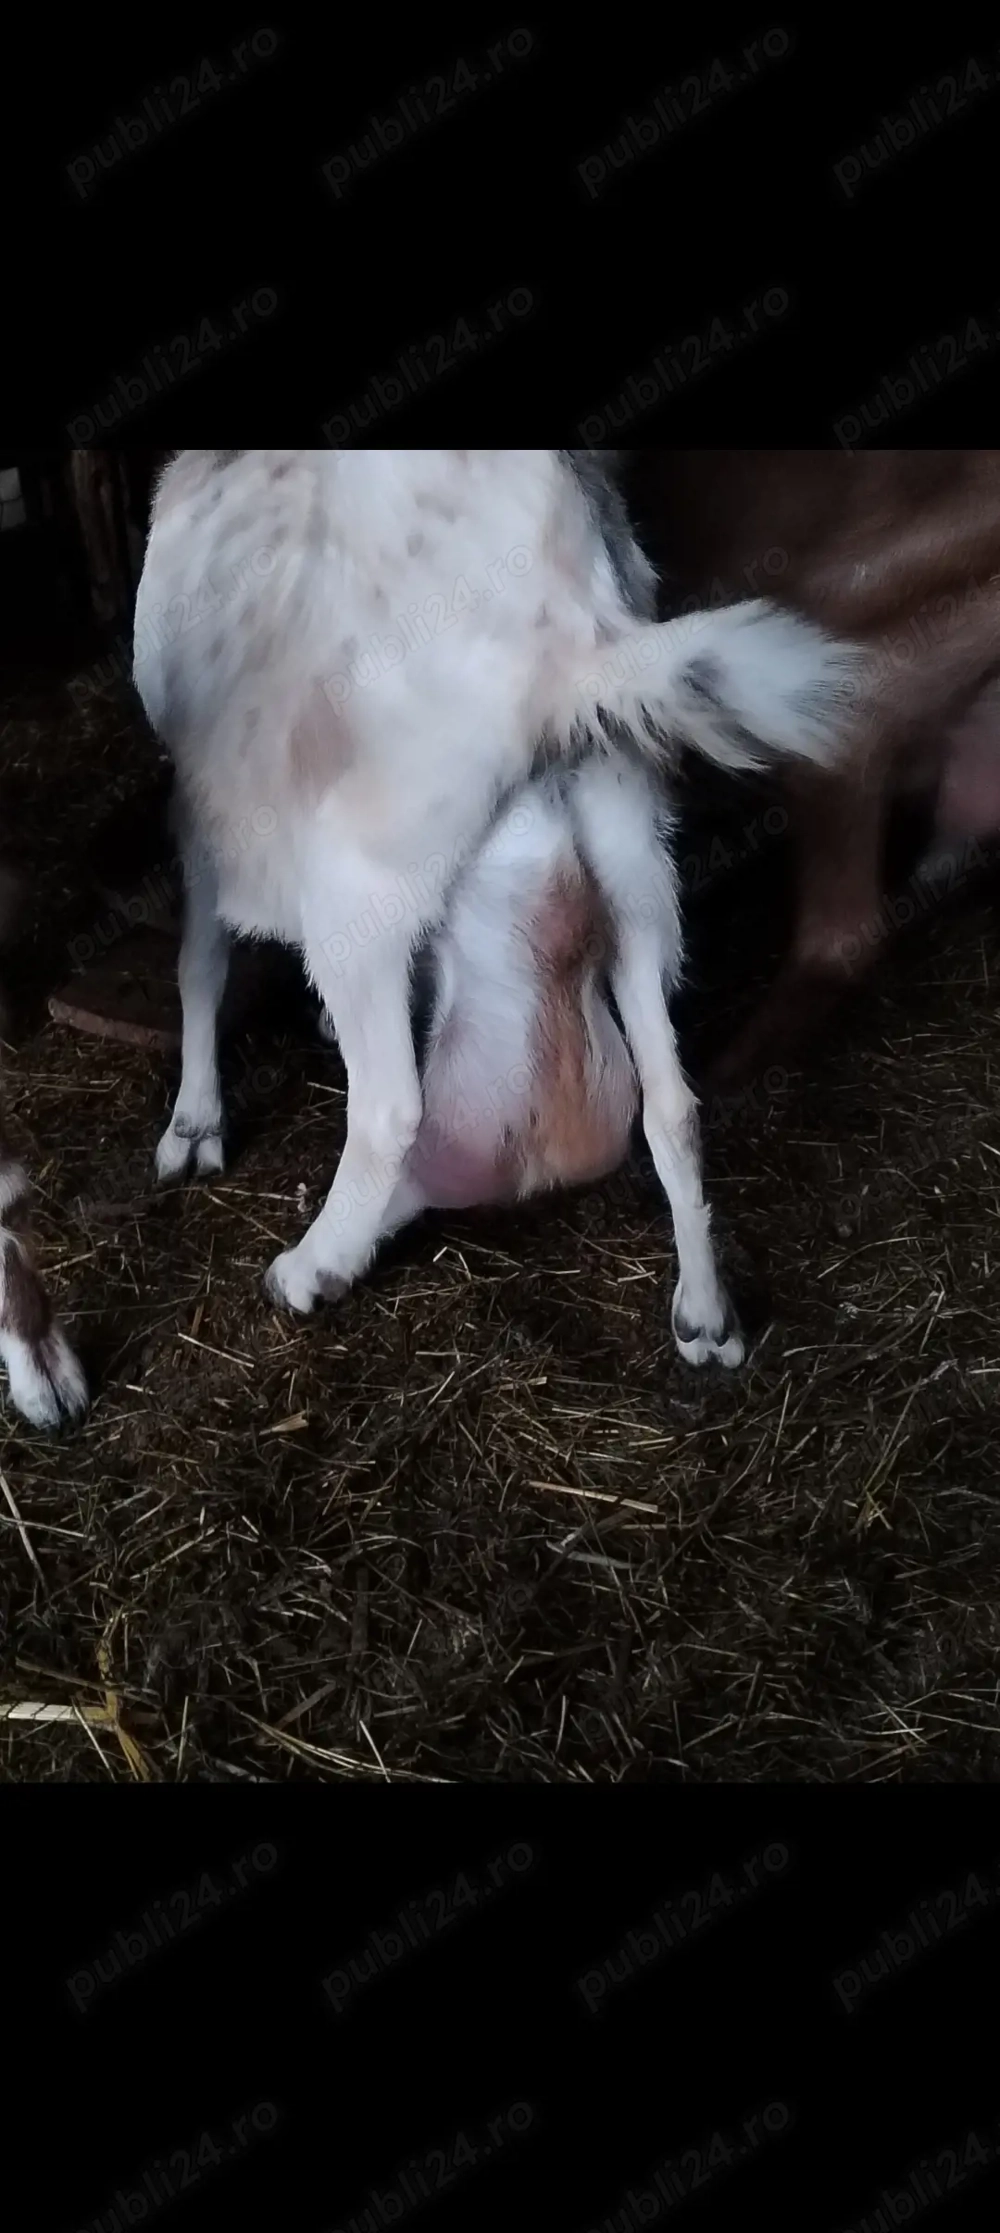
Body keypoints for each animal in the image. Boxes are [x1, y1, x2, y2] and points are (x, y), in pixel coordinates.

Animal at [134, 449, 860, 1364]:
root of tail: (570, 624)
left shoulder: (200, 806)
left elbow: (198, 962)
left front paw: (193, 1126)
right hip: (634, 849)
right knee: (671, 1101)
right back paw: (704, 1316)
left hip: (361, 883)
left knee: (392, 1106)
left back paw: (312, 1268)